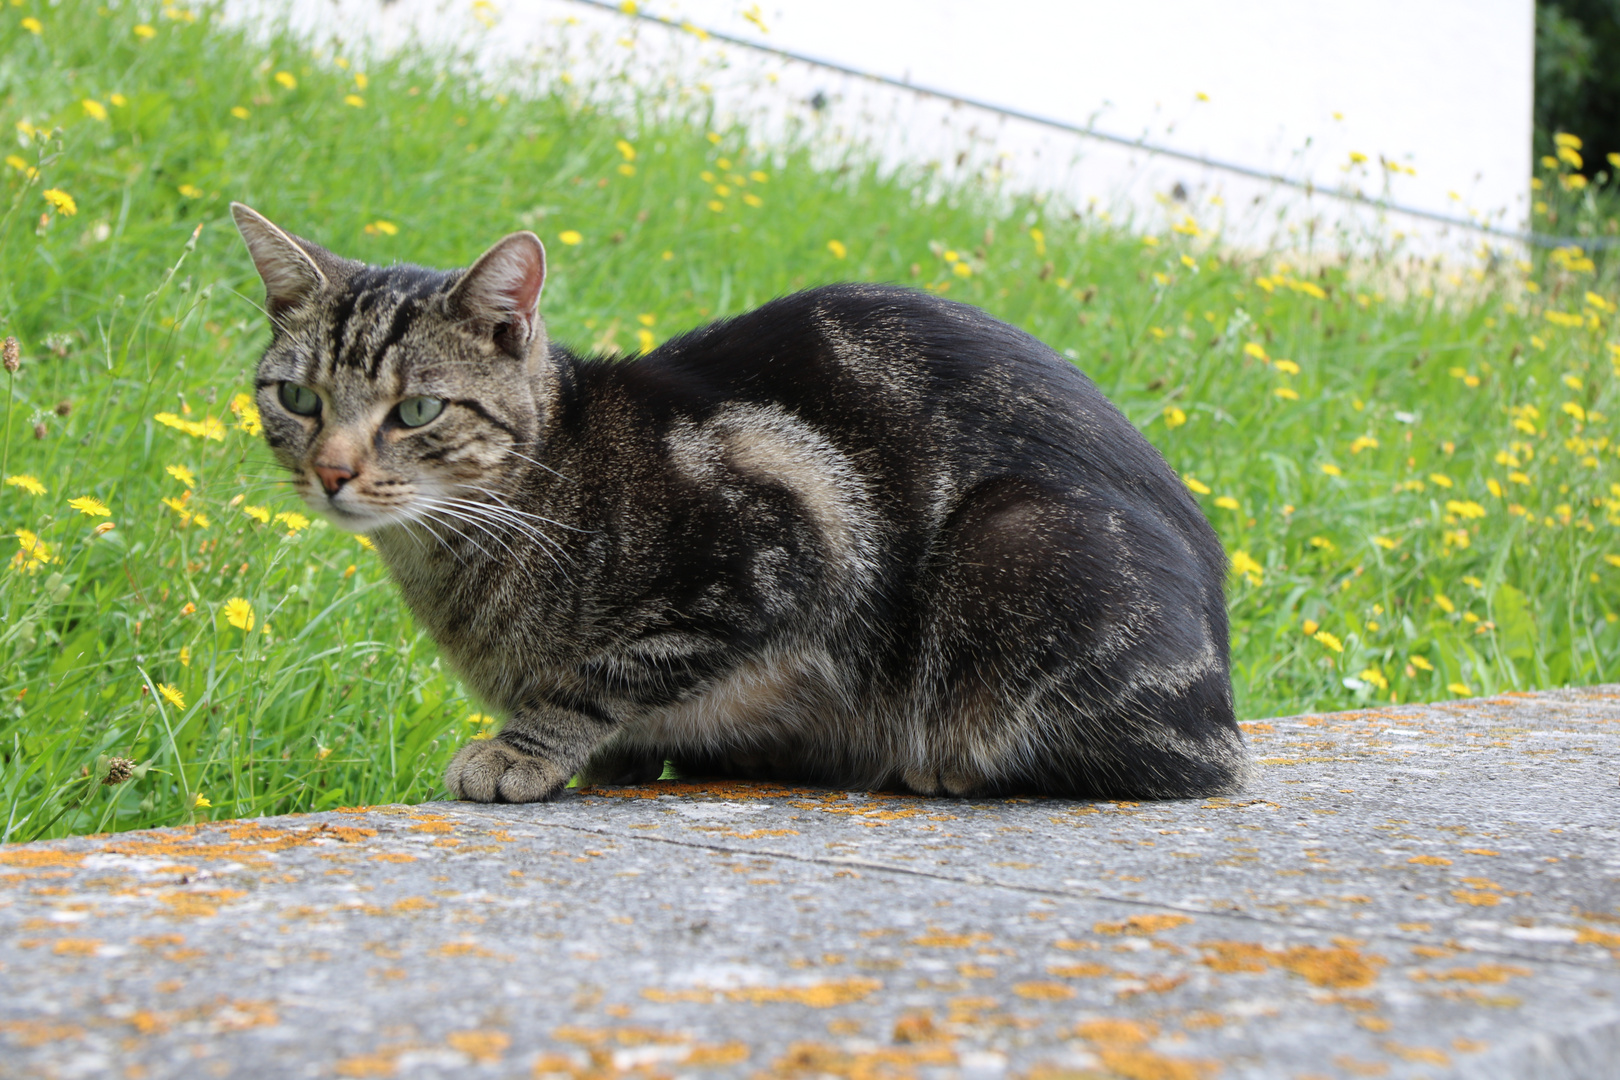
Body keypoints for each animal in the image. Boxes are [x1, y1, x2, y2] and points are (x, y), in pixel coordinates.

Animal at [228, 202, 1244, 803]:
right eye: (299, 398)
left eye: (417, 410)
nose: (332, 470)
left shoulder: (786, 541)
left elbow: (602, 677)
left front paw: (524, 750)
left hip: (1021, 553)